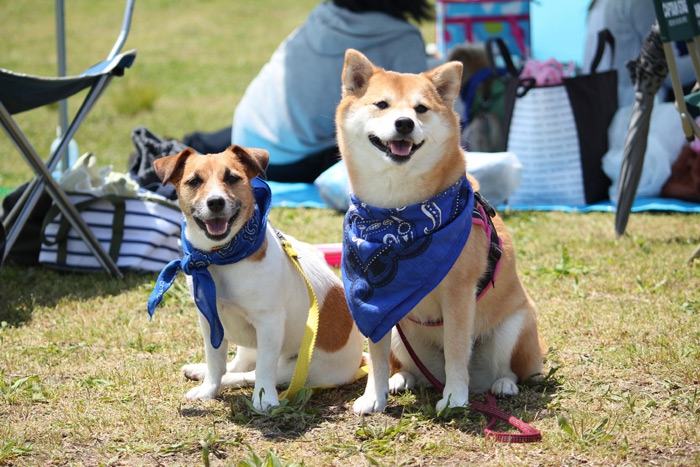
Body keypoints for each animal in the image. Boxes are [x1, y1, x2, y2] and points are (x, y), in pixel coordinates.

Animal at [148, 146, 366, 410]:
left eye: (232, 178)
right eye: (194, 181)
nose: (215, 202)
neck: (221, 257)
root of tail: (359, 360)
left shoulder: (269, 323)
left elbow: (263, 368)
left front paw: (265, 400)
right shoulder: (210, 319)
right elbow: (215, 361)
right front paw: (209, 389)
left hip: (300, 368)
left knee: (250, 374)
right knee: (238, 363)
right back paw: (201, 371)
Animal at [336, 50, 544, 416]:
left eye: (421, 109)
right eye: (382, 104)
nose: (404, 123)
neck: (397, 211)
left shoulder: (458, 293)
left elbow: (457, 350)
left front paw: (455, 398)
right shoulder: (376, 309)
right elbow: (376, 358)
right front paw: (374, 397)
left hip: (516, 325)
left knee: (509, 369)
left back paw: (502, 385)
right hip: (400, 334)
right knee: (409, 368)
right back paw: (401, 379)